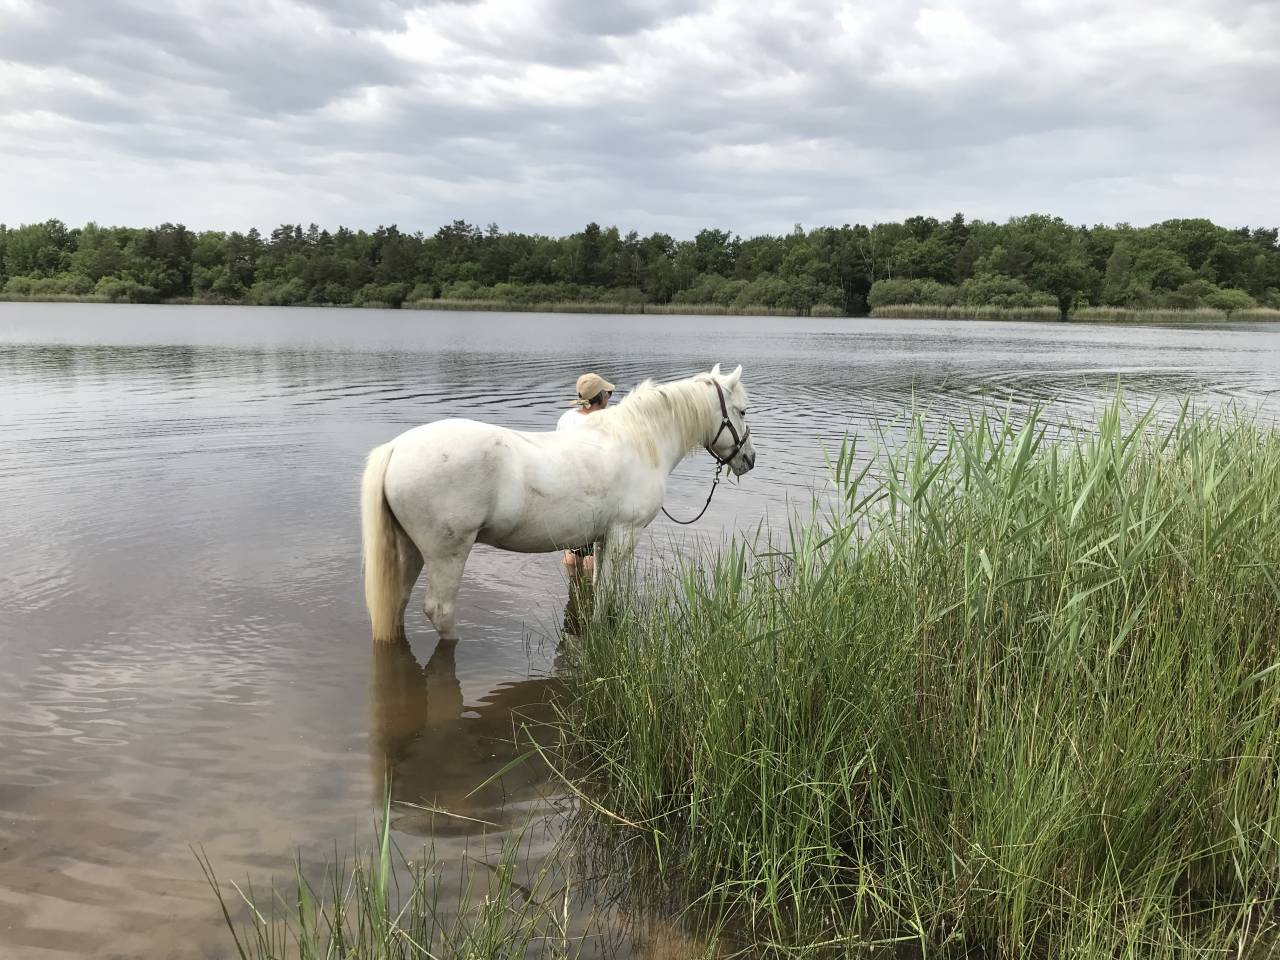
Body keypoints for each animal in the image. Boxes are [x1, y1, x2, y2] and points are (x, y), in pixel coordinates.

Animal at [360, 364, 756, 642]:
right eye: (742, 411)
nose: (749, 460)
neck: (639, 441)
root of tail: (395, 449)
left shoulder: (603, 538)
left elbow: (600, 587)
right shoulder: (625, 534)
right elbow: (606, 592)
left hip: (409, 549)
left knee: (398, 602)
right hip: (447, 554)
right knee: (439, 611)